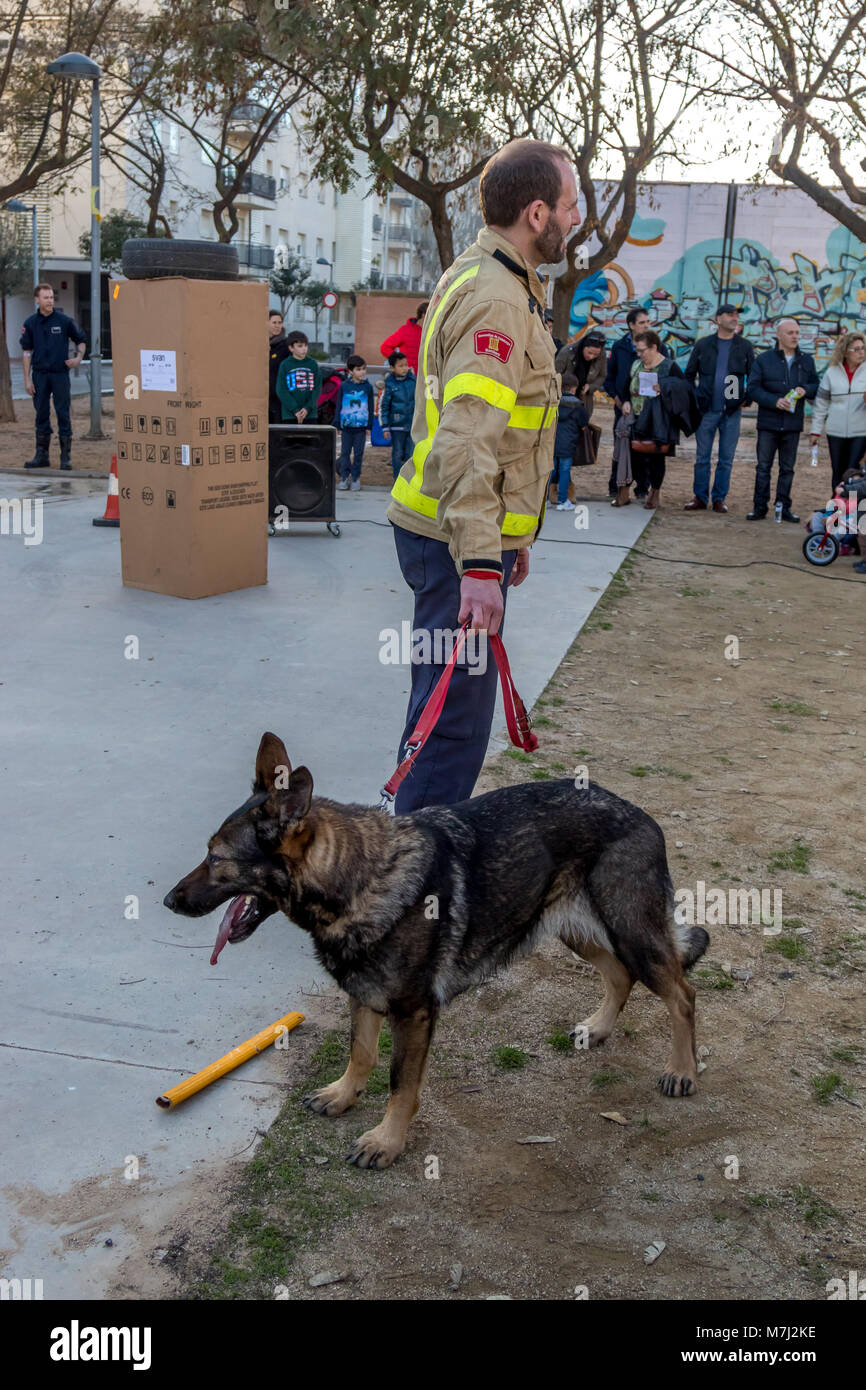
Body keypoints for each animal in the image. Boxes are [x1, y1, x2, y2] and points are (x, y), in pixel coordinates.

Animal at [164, 733, 711, 1167]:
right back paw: (597, 1028)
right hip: (569, 927)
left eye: (217, 859)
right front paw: (344, 1094)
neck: (359, 879)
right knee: (619, 975)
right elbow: (361, 1053)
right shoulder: (364, 993)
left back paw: (682, 1071)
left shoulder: (414, 1011)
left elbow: (400, 1082)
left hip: (632, 935)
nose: (168, 901)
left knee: (682, 994)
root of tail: (638, 812)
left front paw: (386, 1142)